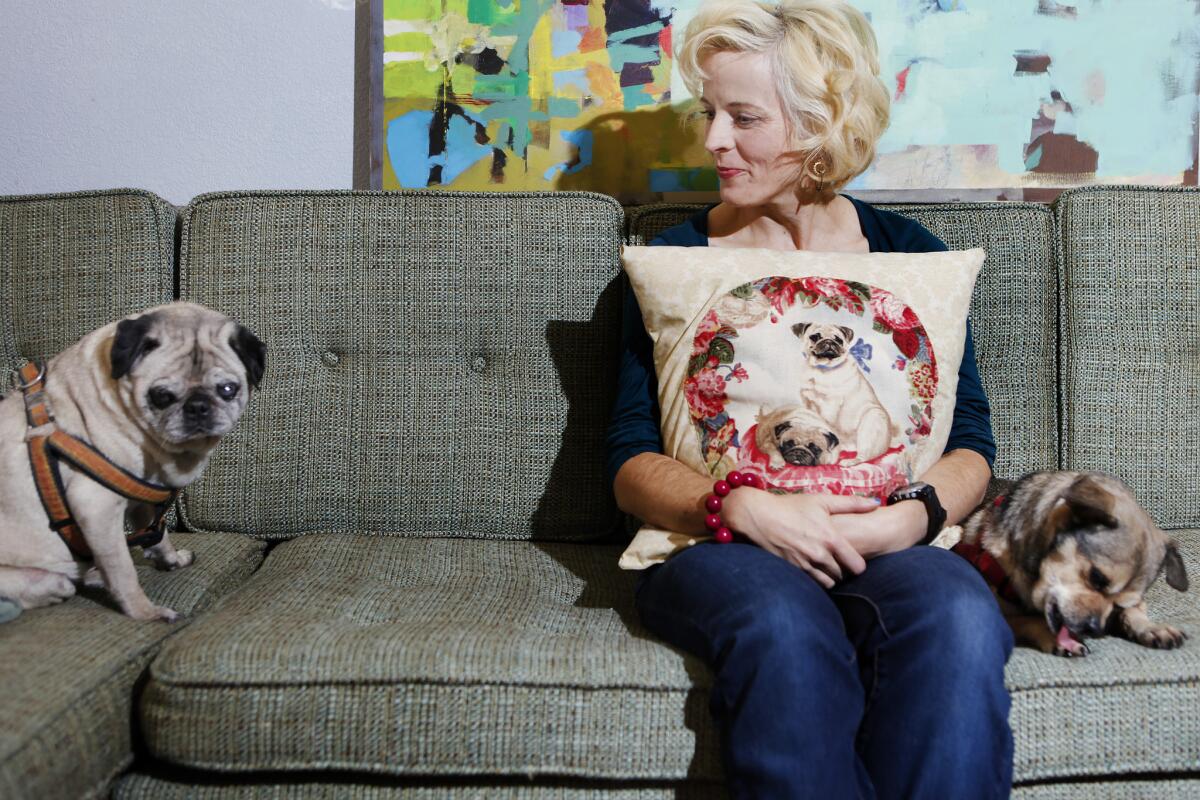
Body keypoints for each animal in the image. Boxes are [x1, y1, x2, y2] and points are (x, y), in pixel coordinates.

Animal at [0, 303, 265, 623]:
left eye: (227, 389)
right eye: (161, 396)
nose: (198, 406)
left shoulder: (141, 501)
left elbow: (158, 535)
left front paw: (171, 559)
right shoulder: (97, 510)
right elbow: (123, 570)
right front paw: (145, 612)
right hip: (49, 579)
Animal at [792, 323, 897, 465]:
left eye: (838, 340)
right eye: (815, 337)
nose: (829, 341)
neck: (821, 369)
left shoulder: (830, 405)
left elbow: (825, 421)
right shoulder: (807, 401)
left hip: (871, 422)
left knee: (865, 456)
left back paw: (850, 461)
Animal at [955, 470, 1190, 657]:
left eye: (1120, 605)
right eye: (1096, 577)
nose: (1095, 629)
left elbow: (1137, 609)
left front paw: (1151, 627)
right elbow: (1030, 619)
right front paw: (1056, 639)